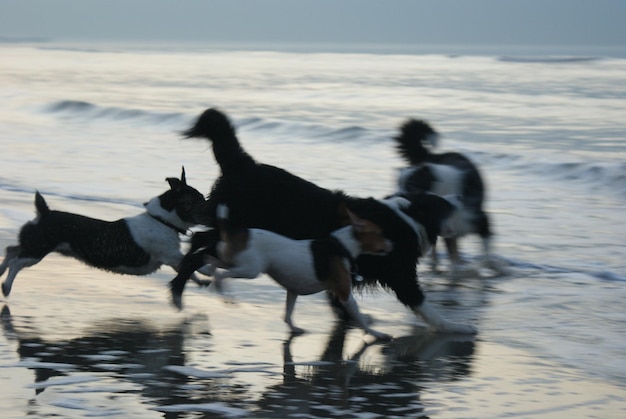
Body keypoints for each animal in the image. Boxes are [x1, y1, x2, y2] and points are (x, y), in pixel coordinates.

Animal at [0, 167, 210, 298]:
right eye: (197, 199)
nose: (213, 207)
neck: (162, 220)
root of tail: (44, 213)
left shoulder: (173, 260)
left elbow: (188, 271)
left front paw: (201, 281)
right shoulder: (171, 255)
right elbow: (191, 262)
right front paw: (206, 270)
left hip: (32, 243)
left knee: (11, 250)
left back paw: (1, 270)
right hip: (37, 250)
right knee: (16, 262)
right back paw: (7, 286)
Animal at [206, 204, 394, 342]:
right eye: (380, 234)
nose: (392, 245)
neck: (341, 246)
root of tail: (235, 232)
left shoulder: (293, 290)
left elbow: (288, 315)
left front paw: (293, 328)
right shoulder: (345, 294)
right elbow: (361, 319)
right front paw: (376, 334)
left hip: (234, 262)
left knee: (213, 261)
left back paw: (209, 272)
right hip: (250, 270)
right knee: (221, 275)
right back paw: (224, 293)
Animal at [394, 118, 502, 276]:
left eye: (411, 186)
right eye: (397, 184)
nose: (397, 196)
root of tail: (432, 156)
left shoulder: (478, 218)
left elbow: (486, 247)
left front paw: (490, 266)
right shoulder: (446, 226)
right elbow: (451, 251)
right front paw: (455, 271)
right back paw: (435, 263)